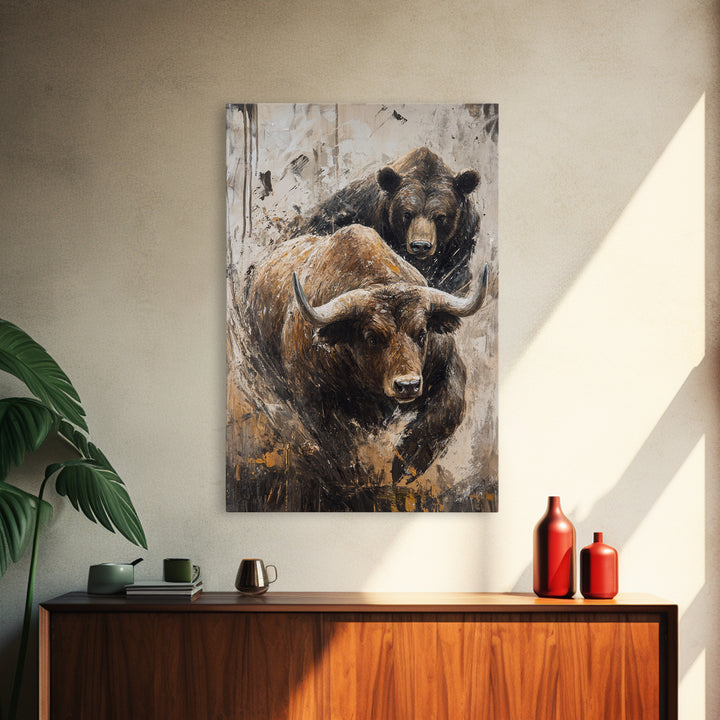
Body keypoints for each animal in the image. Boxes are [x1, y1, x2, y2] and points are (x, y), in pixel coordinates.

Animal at [245, 224, 488, 490]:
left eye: (422, 333)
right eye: (371, 337)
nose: (408, 385)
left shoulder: (447, 366)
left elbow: (447, 412)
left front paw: (405, 466)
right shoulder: (314, 400)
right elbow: (341, 449)